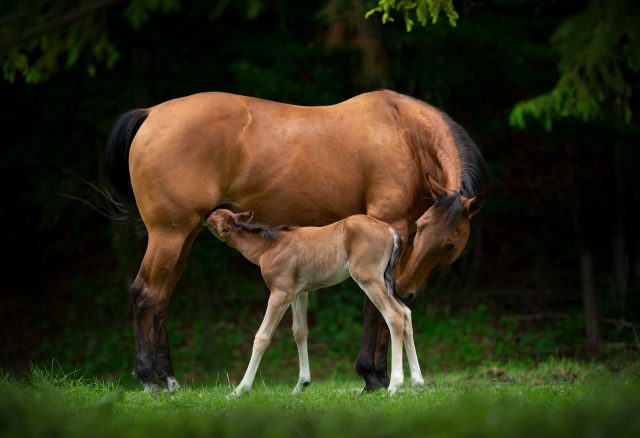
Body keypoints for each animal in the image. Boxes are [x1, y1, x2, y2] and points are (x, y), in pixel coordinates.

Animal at [206, 209, 424, 396]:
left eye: (213, 220)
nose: (205, 216)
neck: (268, 247)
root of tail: (391, 231)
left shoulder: (280, 293)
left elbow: (262, 337)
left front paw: (239, 390)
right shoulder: (299, 293)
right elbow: (299, 331)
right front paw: (300, 385)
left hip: (369, 278)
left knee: (394, 315)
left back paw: (395, 385)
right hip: (385, 282)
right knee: (406, 312)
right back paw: (417, 383)